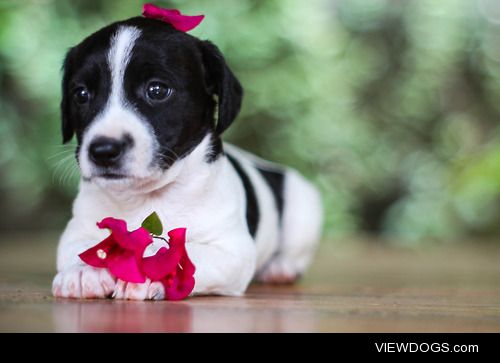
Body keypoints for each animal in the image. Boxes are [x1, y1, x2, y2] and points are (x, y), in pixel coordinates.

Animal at [52, 17, 322, 300]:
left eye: (157, 90)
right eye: (81, 94)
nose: (104, 150)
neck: (148, 196)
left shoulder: (231, 252)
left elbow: (182, 254)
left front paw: (152, 273)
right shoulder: (76, 231)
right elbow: (84, 247)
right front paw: (83, 271)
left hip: (303, 209)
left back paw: (280, 268)